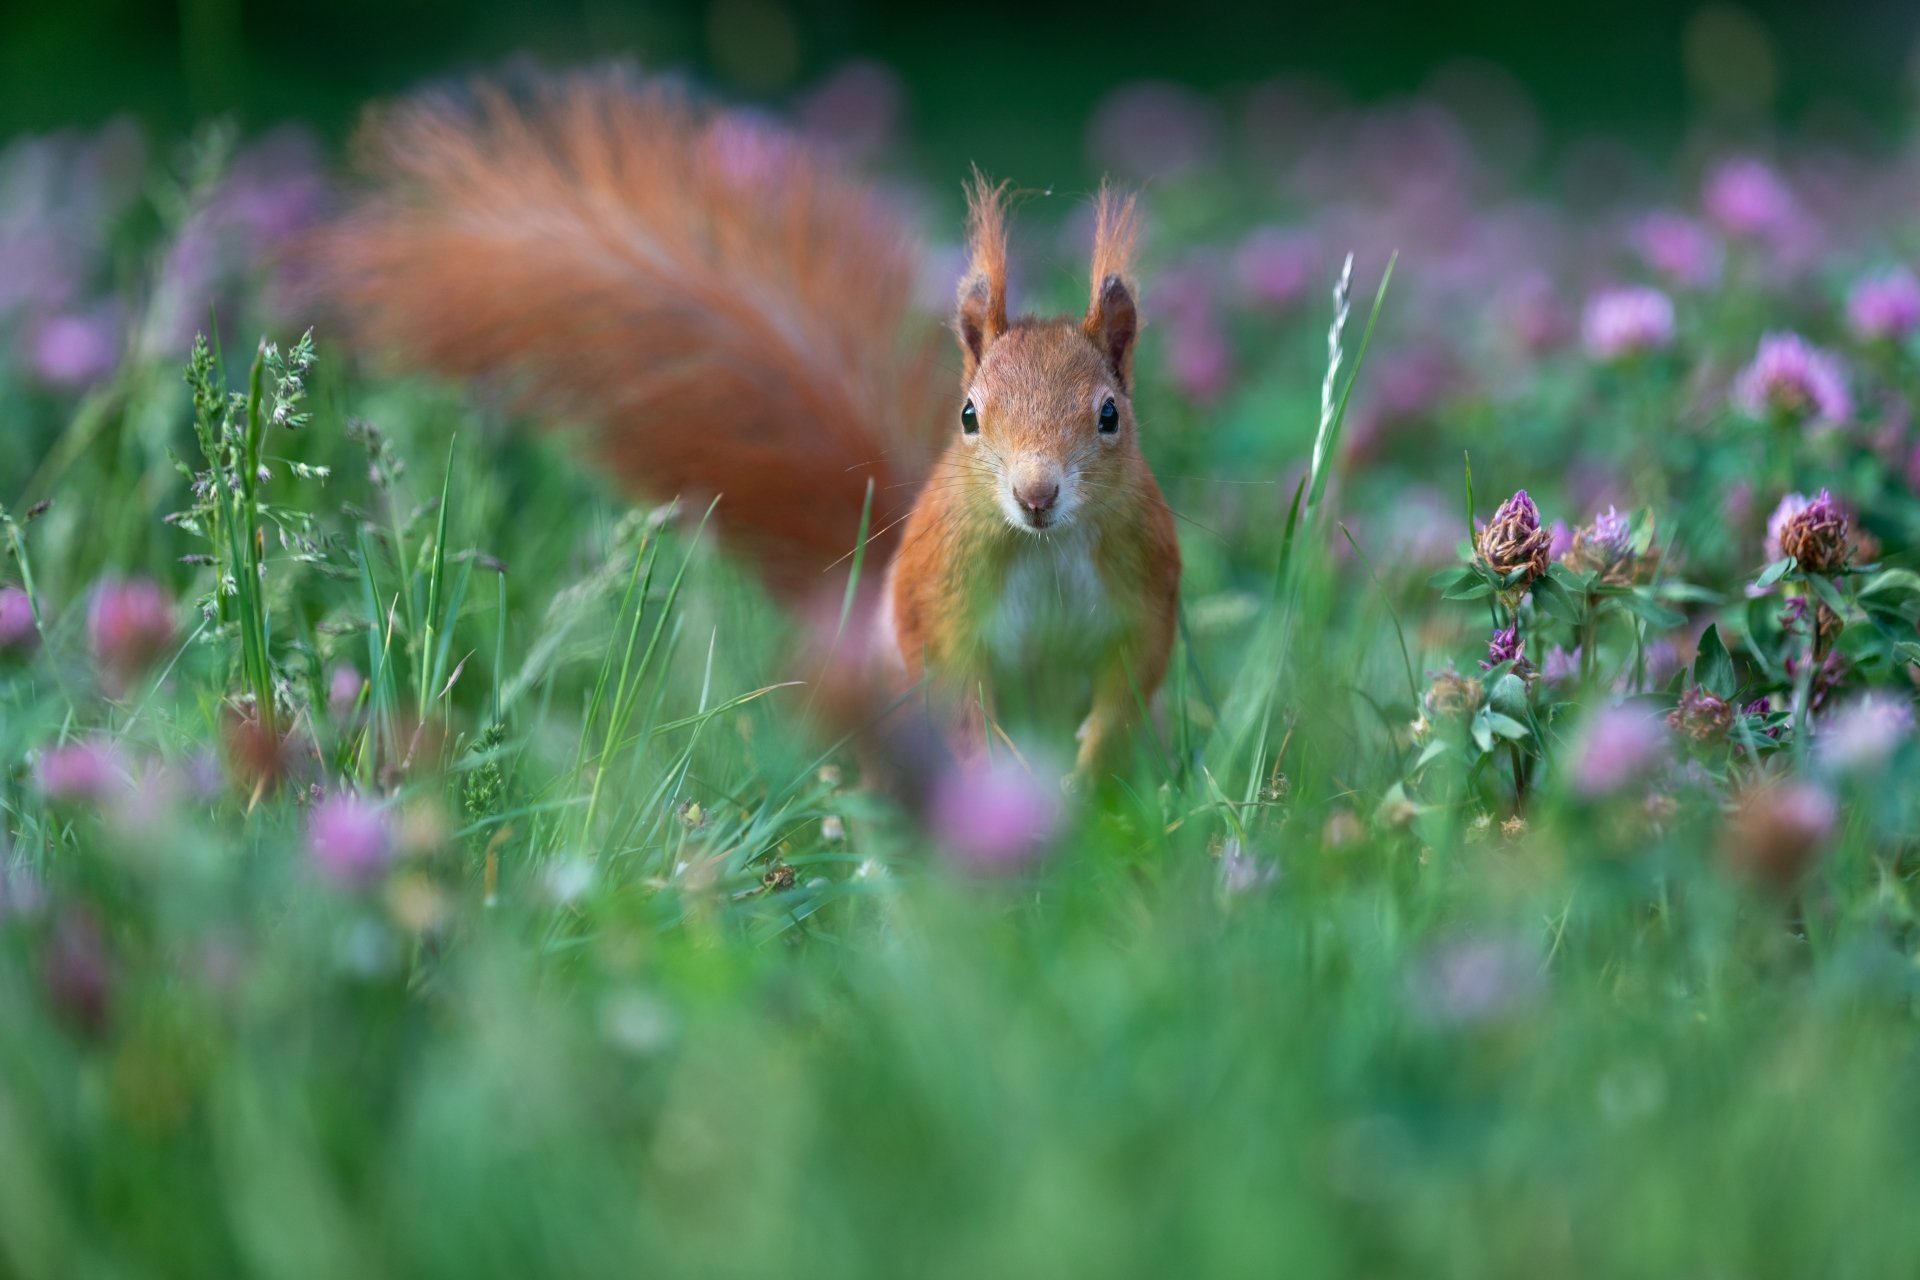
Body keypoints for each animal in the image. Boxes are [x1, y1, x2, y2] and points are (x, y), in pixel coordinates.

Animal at [313, 70, 1181, 779]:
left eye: (1109, 415)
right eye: (968, 415)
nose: (1036, 494)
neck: (1045, 548)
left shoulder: (1143, 591)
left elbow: (1129, 686)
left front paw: (1087, 778)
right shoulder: (939, 595)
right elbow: (954, 685)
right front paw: (1003, 768)